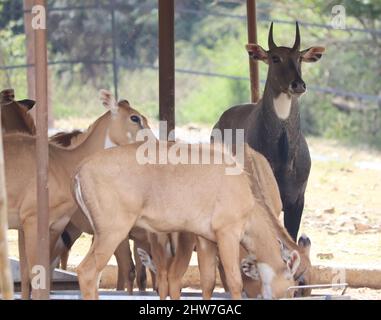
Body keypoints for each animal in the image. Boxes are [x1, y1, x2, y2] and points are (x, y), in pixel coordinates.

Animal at [4, 90, 150, 300]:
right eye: (135, 118)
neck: (63, 163)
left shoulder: (53, 226)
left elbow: (34, 276)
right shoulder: (31, 222)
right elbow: (35, 275)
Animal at [72, 141, 302, 298]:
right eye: (292, 287)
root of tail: (80, 171)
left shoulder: (206, 240)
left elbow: (208, 282)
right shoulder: (228, 233)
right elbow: (235, 282)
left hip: (103, 234)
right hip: (112, 232)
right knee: (87, 272)